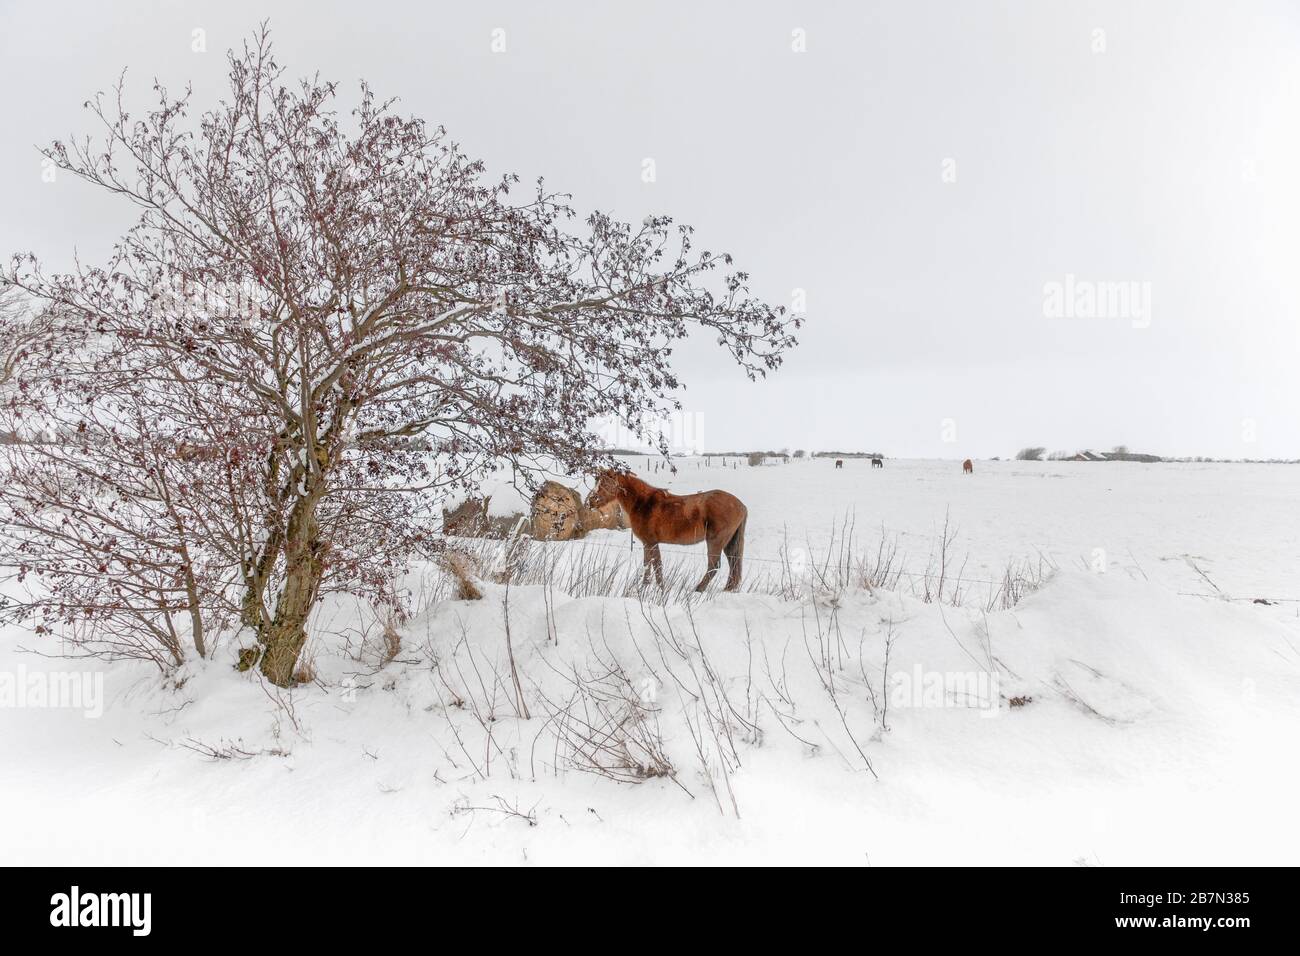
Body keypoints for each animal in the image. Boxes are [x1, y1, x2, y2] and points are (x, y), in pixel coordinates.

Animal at [592, 468, 754, 595]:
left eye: (605, 483)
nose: (591, 501)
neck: (643, 503)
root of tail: (741, 506)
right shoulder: (648, 543)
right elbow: (648, 565)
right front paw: (646, 587)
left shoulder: (651, 542)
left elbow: (656, 565)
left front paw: (659, 588)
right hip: (729, 542)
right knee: (733, 564)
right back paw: (728, 589)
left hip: (715, 541)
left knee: (714, 566)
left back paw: (699, 589)